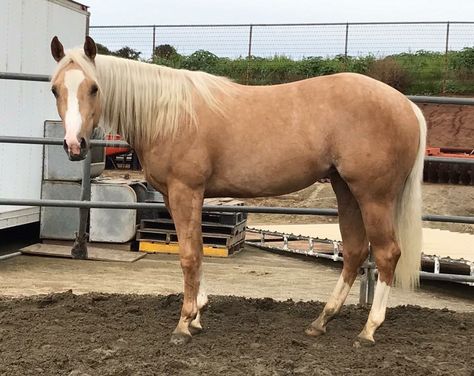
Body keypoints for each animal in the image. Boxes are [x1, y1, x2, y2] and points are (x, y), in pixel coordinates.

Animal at [51, 37, 426, 346]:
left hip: (374, 196)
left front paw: (184, 324)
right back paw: (321, 322)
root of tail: (407, 106)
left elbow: (189, 255)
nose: (74, 145)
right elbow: (196, 250)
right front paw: (198, 313)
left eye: (94, 88)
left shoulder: (186, 191)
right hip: (345, 190)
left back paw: (368, 330)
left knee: (387, 253)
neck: (168, 114)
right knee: (355, 251)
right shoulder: (175, 196)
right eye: (55, 89)